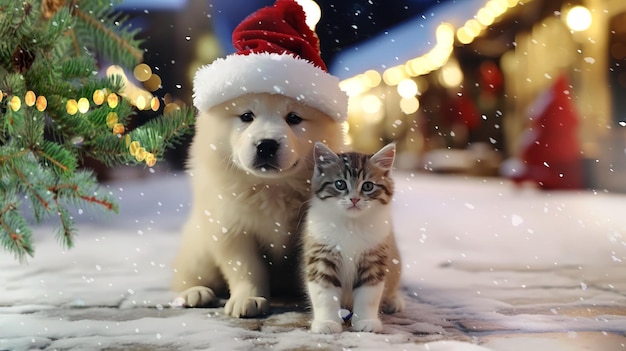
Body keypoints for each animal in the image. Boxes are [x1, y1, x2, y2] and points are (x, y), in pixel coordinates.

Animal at [171, 93, 342, 320]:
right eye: (246, 116)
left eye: (294, 118)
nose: (266, 145)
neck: (271, 188)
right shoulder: (232, 227)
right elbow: (246, 268)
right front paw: (248, 298)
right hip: (199, 247)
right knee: (185, 275)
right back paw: (194, 293)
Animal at [302, 142, 404, 334]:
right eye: (340, 184)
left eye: (368, 186)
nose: (354, 199)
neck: (351, 224)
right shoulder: (321, 256)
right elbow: (324, 295)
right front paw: (326, 323)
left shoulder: (374, 259)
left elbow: (368, 295)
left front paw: (367, 321)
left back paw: (394, 301)